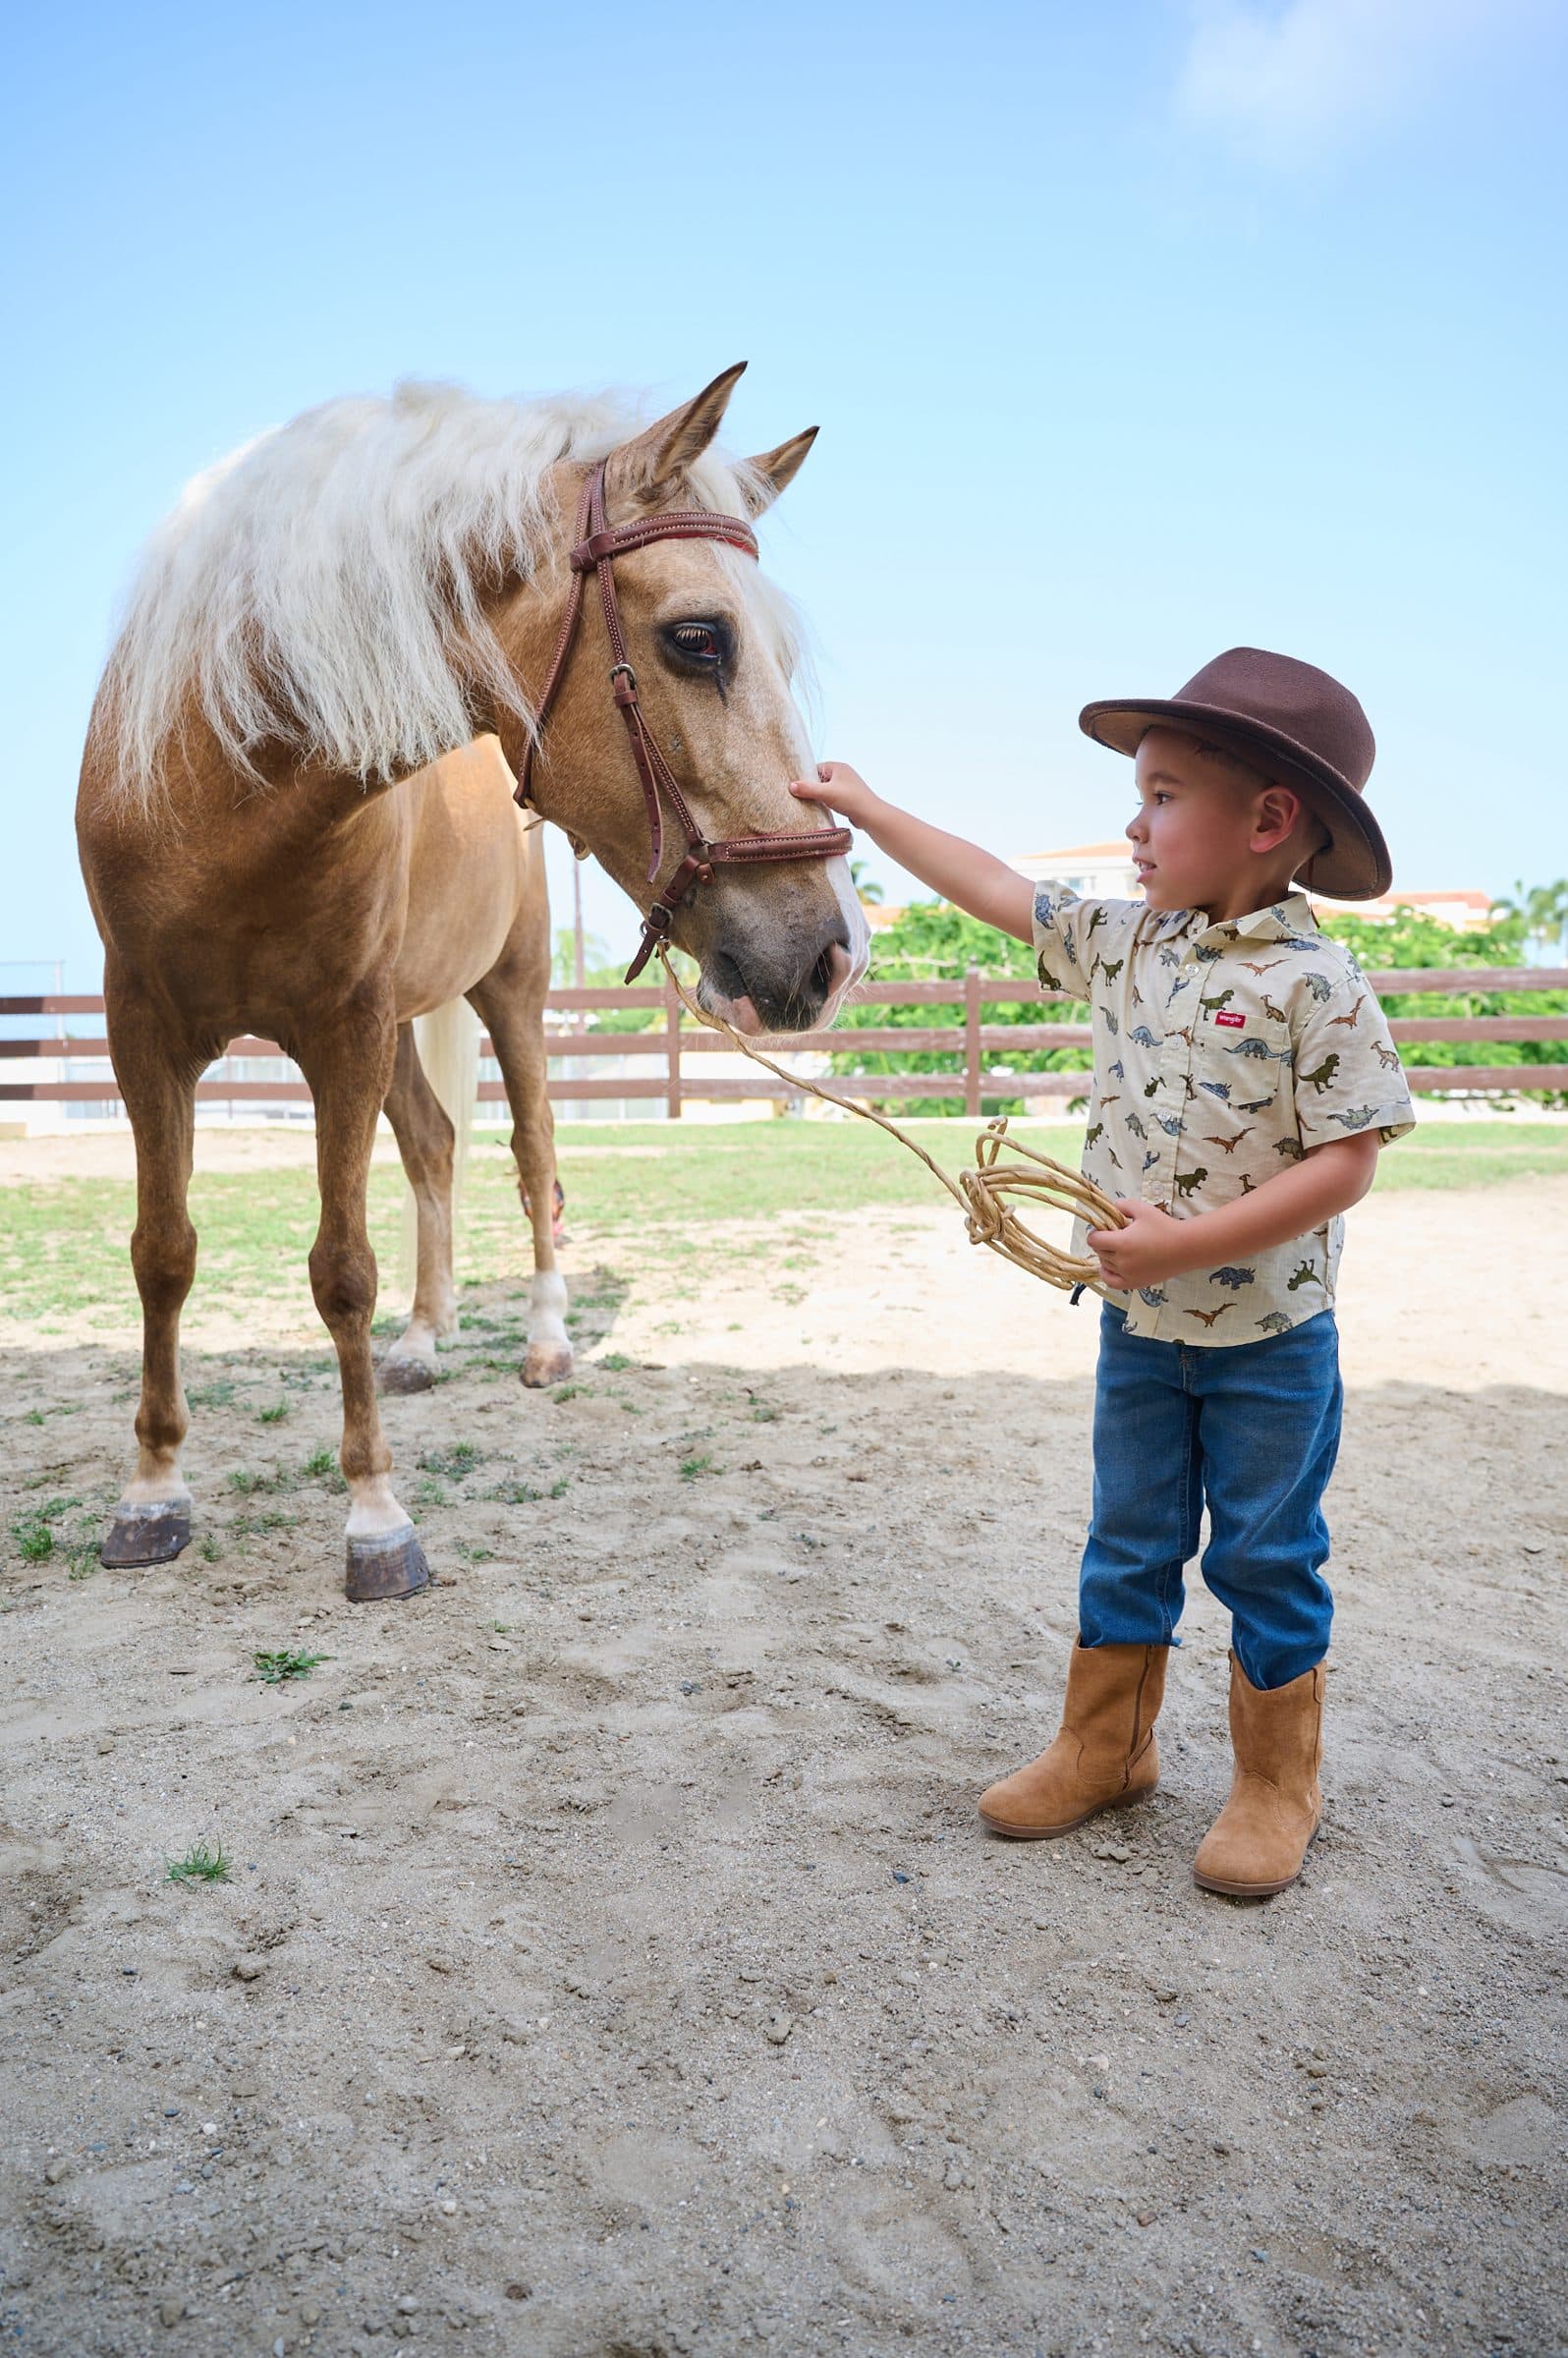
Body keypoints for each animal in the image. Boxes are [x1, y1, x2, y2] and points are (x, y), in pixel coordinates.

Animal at [76, 363, 869, 1601]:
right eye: (699, 639)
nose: (832, 953)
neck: (220, 779)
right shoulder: (144, 1033)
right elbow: (164, 1255)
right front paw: (152, 1494)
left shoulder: (341, 1030)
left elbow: (341, 1270)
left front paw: (375, 1519)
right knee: (435, 1148)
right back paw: (421, 1341)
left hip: (511, 998)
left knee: (532, 1157)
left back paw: (542, 1341)